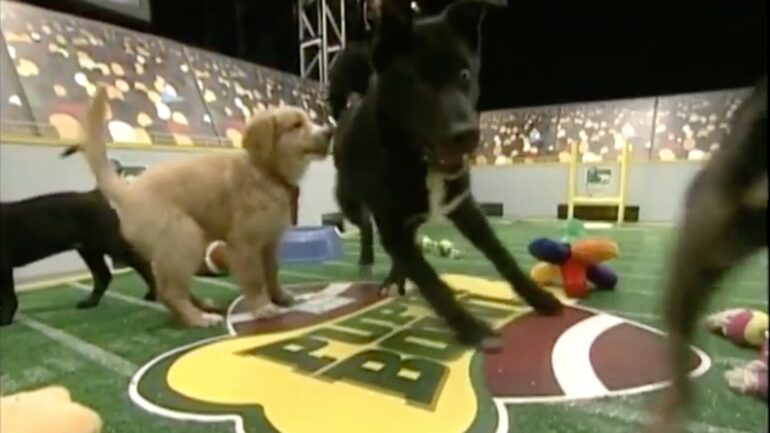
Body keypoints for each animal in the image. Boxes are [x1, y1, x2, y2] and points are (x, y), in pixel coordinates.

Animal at [0, 187, 156, 326]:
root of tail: (94, 194)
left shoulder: (4, 267)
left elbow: (7, 296)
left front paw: (5, 319)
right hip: (90, 251)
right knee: (103, 275)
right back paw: (90, 302)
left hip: (109, 244)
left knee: (142, 263)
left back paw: (152, 294)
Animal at [75, 86, 332, 326]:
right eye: (296, 125)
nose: (330, 132)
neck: (266, 172)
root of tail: (130, 190)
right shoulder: (244, 243)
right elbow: (254, 279)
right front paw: (262, 307)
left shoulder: (269, 242)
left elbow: (271, 272)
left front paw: (280, 297)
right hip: (185, 238)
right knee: (170, 292)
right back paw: (198, 318)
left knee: (167, 287)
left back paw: (202, 306)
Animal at [328, 0, 560, 348]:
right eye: (416, 82)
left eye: (464, 74)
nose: (466, 135)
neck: (421, 162)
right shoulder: (392, 226)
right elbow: (432, 283)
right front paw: (472, 329)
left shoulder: (465, 208)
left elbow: (503, 256)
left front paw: (539, 298)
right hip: (350, 200)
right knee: (367, 227)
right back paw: (369, 261)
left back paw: (395, 277)